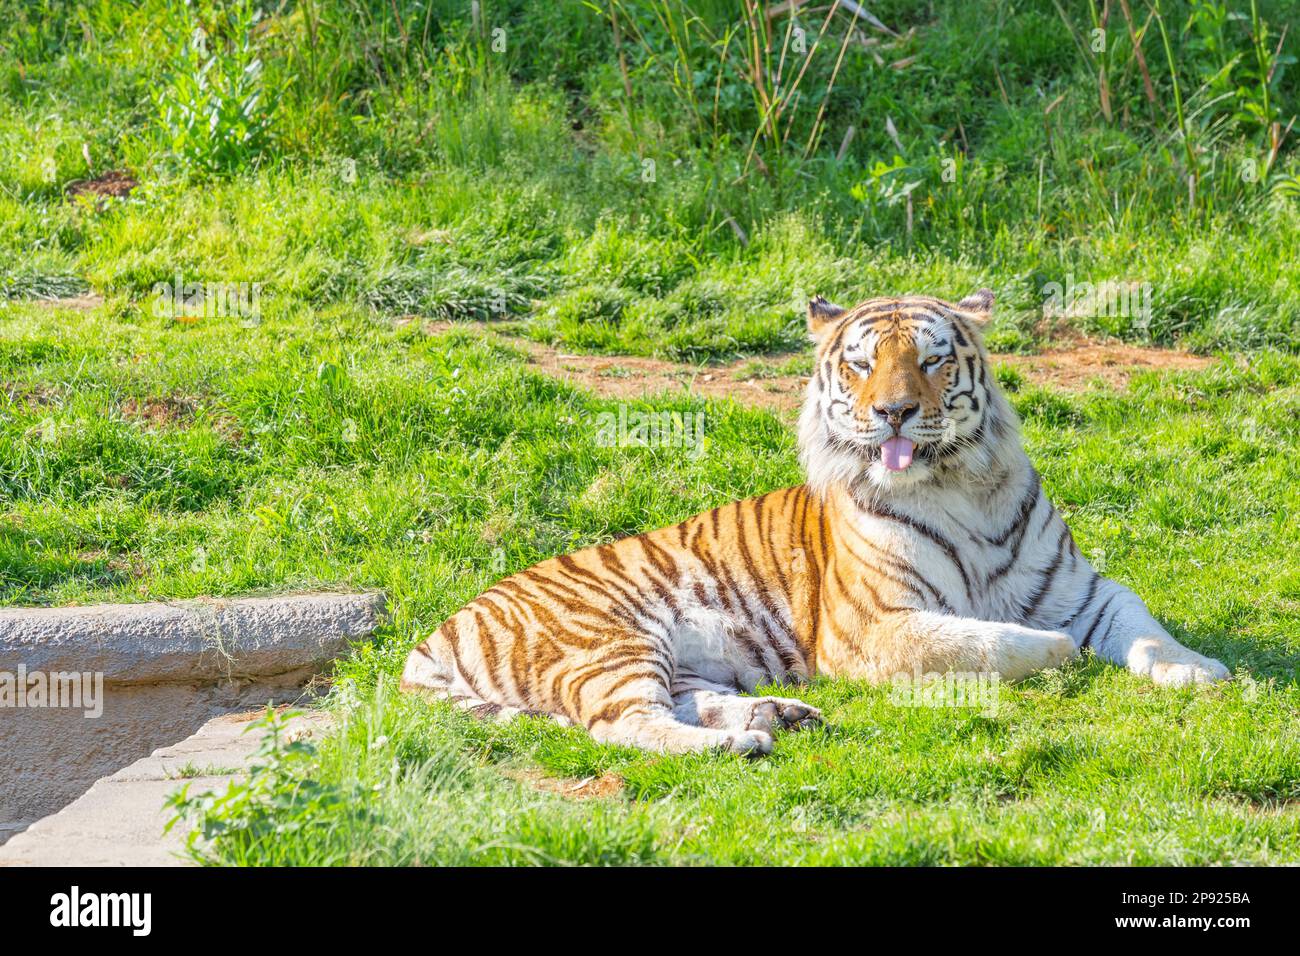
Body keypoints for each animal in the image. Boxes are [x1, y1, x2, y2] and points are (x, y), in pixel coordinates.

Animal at [397, 287, 1227, 749]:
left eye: (932, 359)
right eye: (861, 364)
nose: (893, 411)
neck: (960, 484)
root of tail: (436, 631)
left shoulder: (1084, 590)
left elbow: (1143, 627)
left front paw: (1202, 671)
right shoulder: (875, 625)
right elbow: (987, 641)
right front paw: (1059, 654)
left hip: (675, 659)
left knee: (686, 701)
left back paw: (778, 717)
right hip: (607, 642)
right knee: (622, 725)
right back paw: (737, 748)